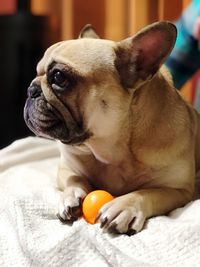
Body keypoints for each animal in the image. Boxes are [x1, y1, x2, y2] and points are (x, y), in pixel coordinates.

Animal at [23, 22, 200, 236]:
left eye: (59, 77)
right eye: (36, 72)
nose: (31, 89)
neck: (112, 149)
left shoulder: (179, 190)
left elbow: (149, 192)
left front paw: (125, 205)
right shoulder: (67, 166)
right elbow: (74, 178)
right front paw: (71, 195)